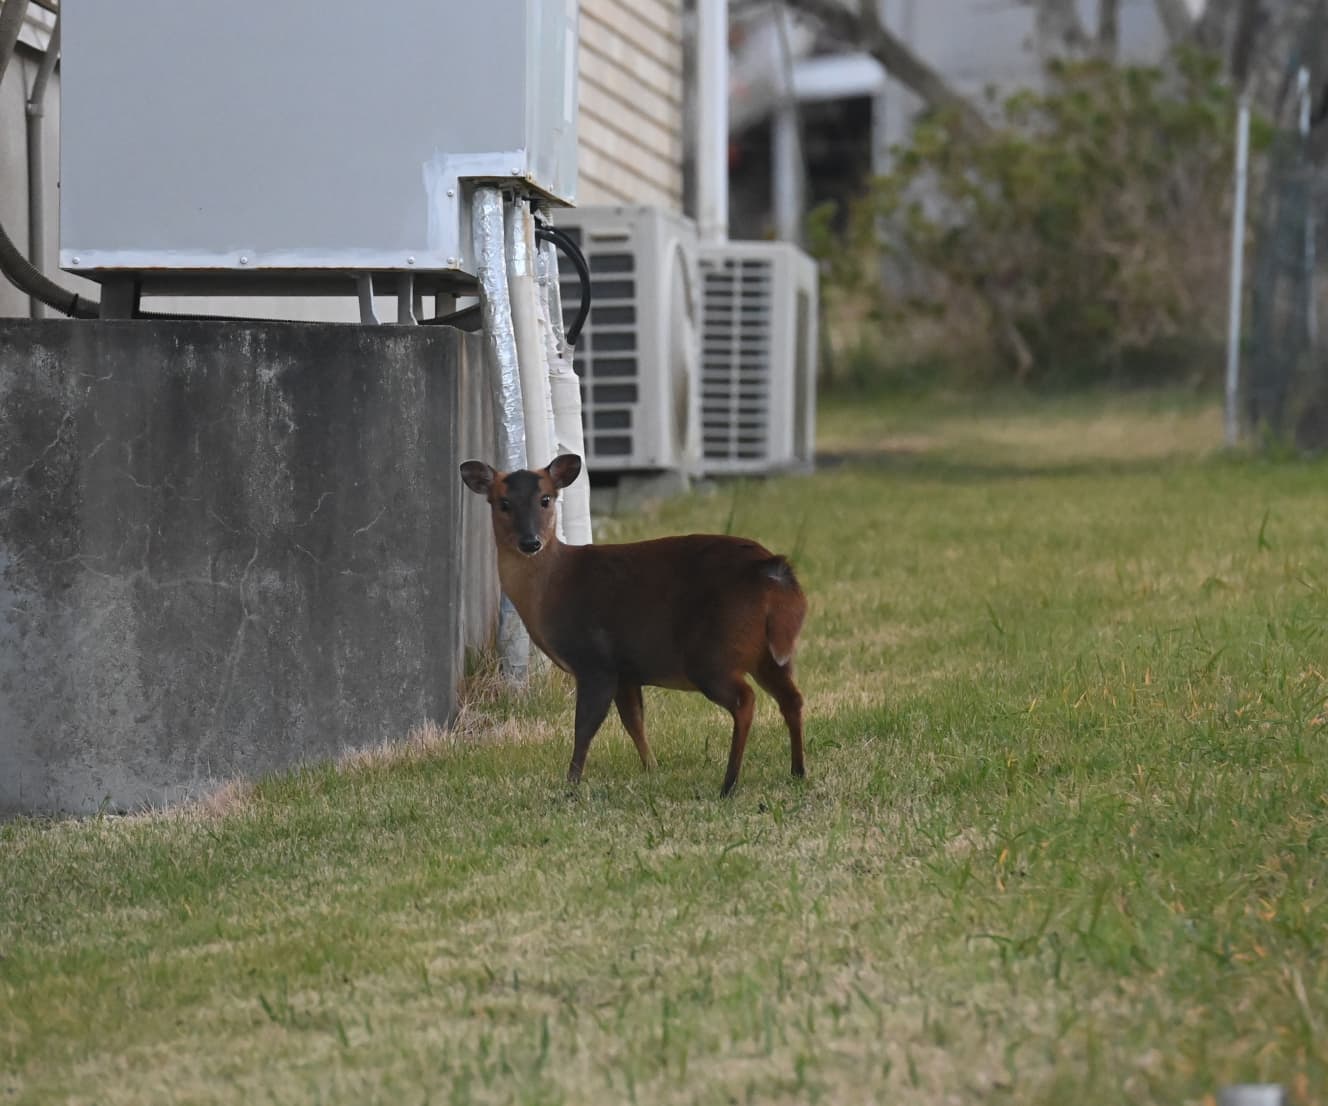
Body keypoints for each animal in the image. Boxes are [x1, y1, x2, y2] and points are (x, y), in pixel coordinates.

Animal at [462, 454, 802, 796]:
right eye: (503, 503)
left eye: (546, 498)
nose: (530, 542)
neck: (550, 587)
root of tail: (773, 573)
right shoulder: (626, 671)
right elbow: (633, 720)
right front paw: (652, 768)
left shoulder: (595, 660)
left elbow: (584, 727)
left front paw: (571, 784)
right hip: (769, 654)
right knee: (791, 697)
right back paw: (797, 771)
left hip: (713, 652)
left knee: (746, 700)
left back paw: (729, 784)